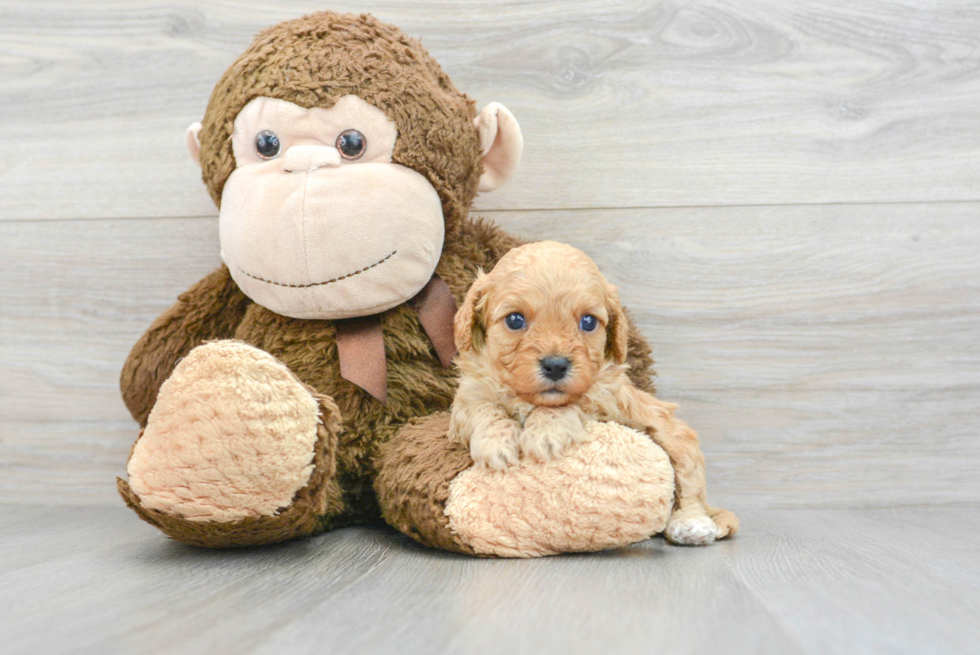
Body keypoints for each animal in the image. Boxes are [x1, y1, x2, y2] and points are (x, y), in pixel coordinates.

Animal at [448, 241, 740, 544]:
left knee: (690, 483)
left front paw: (546, 433)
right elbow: (482, 408)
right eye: (515, 320)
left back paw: (692, 523)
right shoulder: (466, 400)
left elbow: (577, 402)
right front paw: (496, 442)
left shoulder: (608, 399)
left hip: (676, 437)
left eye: (588, 322)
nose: (556, 365)